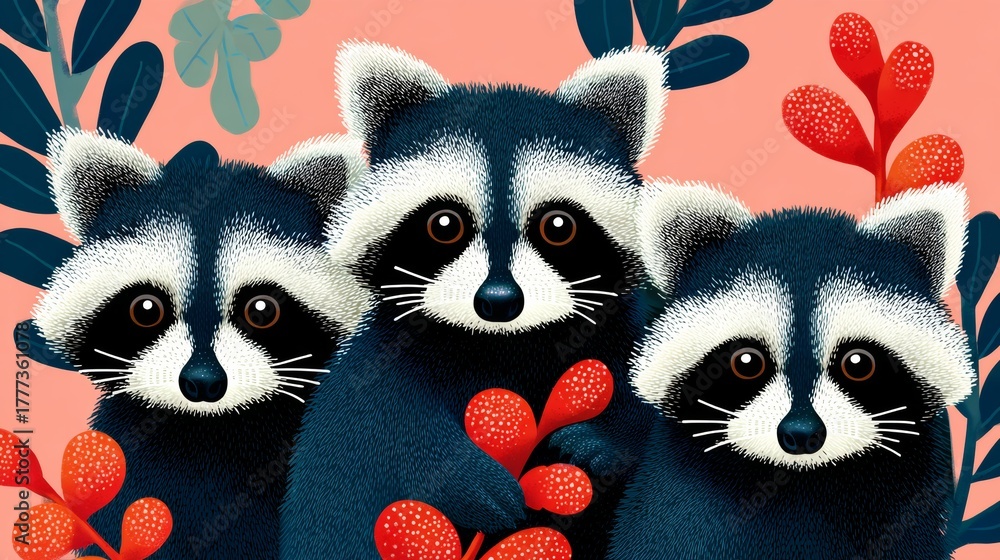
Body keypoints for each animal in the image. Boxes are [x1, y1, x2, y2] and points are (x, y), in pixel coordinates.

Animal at [281, 43, 667, 558]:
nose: (499, 301)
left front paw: (600, 439)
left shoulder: (622, 336)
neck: (503, 342)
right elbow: (373, 426)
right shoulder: (378, 359)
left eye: (558, 226)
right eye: (445, 224)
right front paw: (460, 475)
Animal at [610, 181, 974, 559]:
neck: (798, 477)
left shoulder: (911, 499)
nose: (801, 434)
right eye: (746, 362)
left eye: (858, 363)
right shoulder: (675, 499)